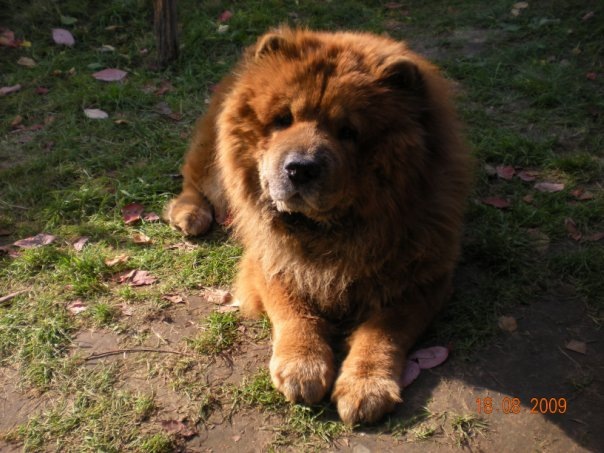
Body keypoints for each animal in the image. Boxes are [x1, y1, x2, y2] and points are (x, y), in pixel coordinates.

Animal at [165, 27, 471, 425]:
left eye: (348, 132)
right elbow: (293, 310)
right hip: (211, 156)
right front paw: (303, 366)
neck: (329, 232)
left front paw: (365, 386)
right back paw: (190, 215)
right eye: (282, 120)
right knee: (196, 178)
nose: (300, 168)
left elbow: (383, 331)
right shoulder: (269, 261)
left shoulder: (422, 278)